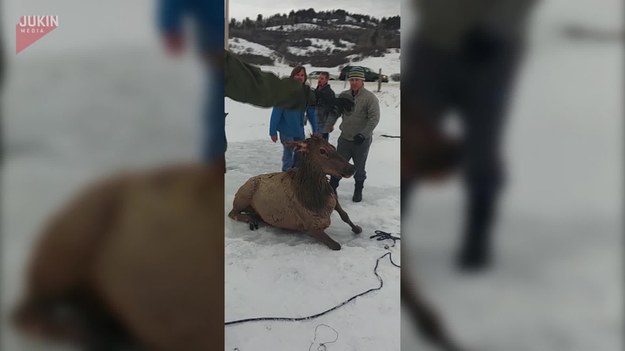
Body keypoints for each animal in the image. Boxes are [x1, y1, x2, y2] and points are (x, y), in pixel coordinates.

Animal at [228, 135, 360, 250]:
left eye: (333, 146)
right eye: (322, 151)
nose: (352, 168)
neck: (317, 199)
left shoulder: (333, 198)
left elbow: (345, 215)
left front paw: (357, 228)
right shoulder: (311, 226)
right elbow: (336, 245)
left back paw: (255, 218)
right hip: (244, 195)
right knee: (232, 213)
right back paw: (250, 220)